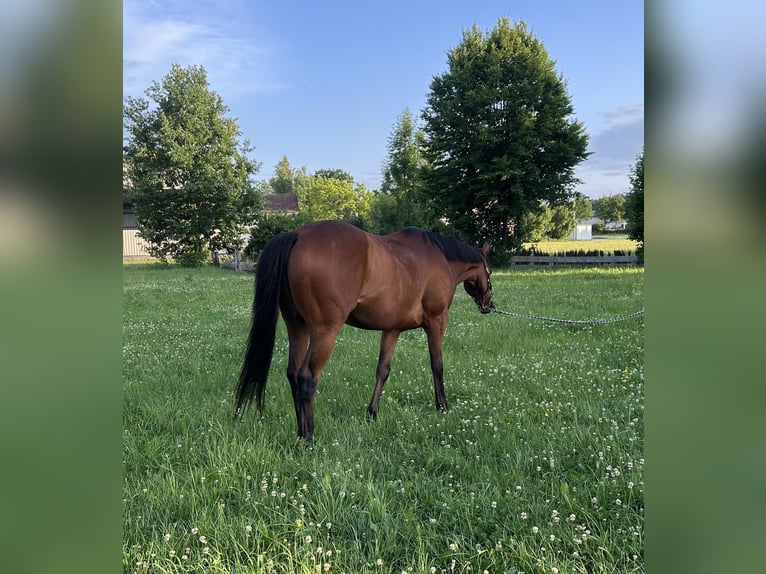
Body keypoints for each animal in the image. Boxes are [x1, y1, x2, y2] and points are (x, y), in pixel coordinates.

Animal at [235, 220, 493, 440]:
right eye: (489, 271)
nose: (488, 305)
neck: (441, 259)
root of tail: (297, 234)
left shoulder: (392, 329)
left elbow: (383, 370)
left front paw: (372, 412)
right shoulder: (437, 321)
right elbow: (437, 365)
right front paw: (442, 405)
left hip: (297, 328)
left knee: (293, 373)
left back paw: (300, 431)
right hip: (324, 333)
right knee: (307, 377)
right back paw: (309, 437)